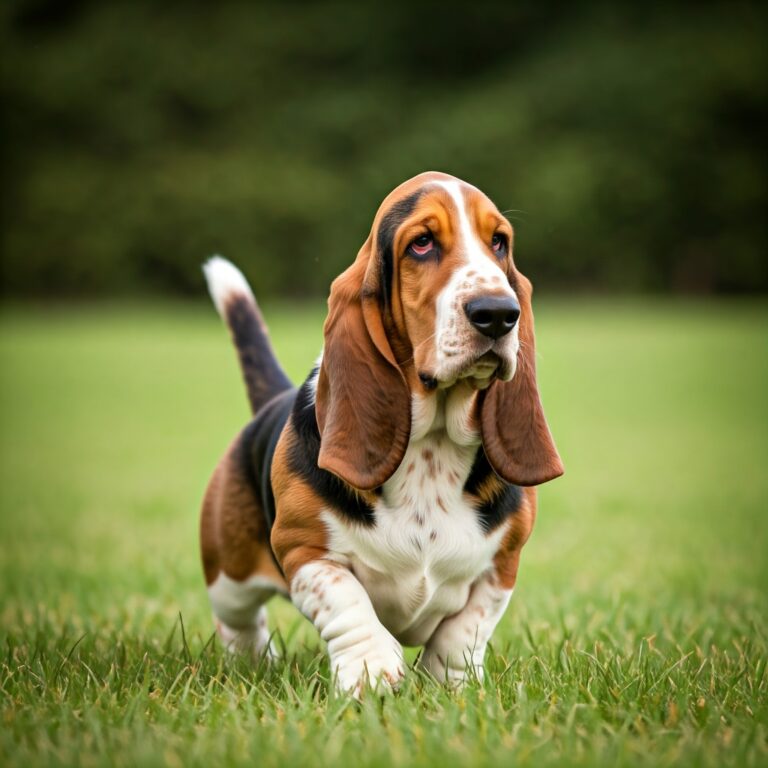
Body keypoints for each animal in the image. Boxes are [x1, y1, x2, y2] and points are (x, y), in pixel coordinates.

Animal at [201, 171, 560, 692]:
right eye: (422, 244)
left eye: (499, 242)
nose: (497, 312)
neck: (432, 443)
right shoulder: (304, 549)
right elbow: (347, 602)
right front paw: (371, 674)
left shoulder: (502, 564)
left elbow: (466, 629)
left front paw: (452, 685)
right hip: (228, 573)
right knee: (239, 621)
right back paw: (251, 662)